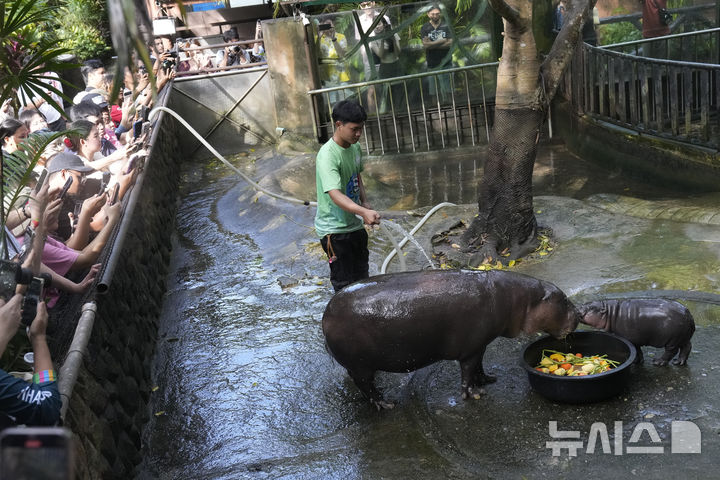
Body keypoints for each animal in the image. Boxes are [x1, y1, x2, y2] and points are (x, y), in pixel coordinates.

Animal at [320, 270, 580, 408]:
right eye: (564, 300)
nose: (579, 314)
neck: (520, 299)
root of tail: (326, 314)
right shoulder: (470, 349)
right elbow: (467, 372)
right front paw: (474, 395)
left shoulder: (480, 345)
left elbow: (479, 366)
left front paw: (488, 380)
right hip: (360, 365)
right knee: (365, 386)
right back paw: (385, 404)